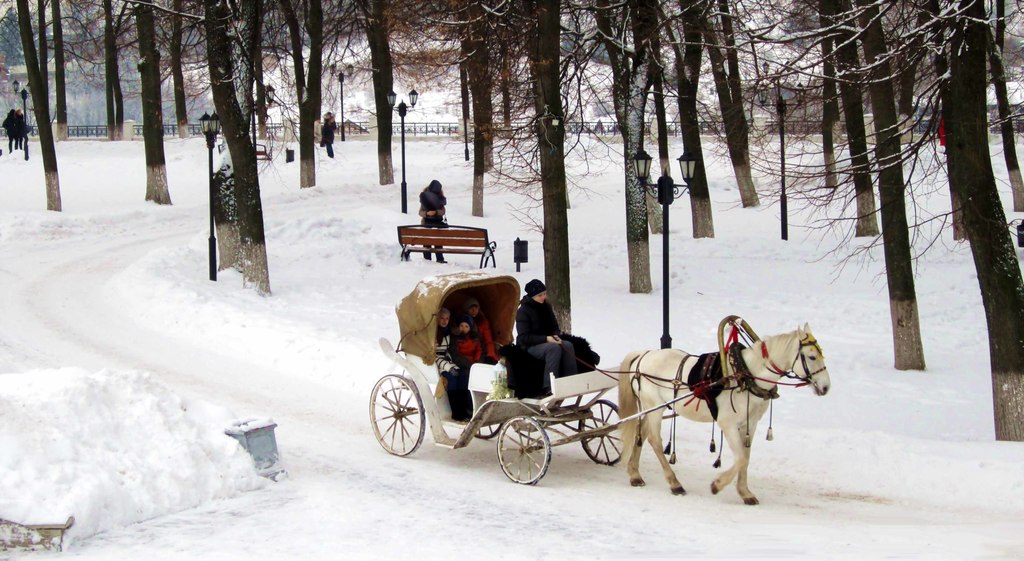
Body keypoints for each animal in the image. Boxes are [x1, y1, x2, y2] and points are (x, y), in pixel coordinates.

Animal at [617, 323, 831, 505]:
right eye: (812, 357)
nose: (826, 387)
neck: (746, 375)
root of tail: (644, 355)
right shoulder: (728, 424)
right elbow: (741, 459)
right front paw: (717, 485)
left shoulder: (749, 424)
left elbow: (746, 457)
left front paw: (745, 492)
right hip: (655, 405)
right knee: (655, 440)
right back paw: (674, 483)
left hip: (652, 407)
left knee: (642, 433)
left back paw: (634, 473)